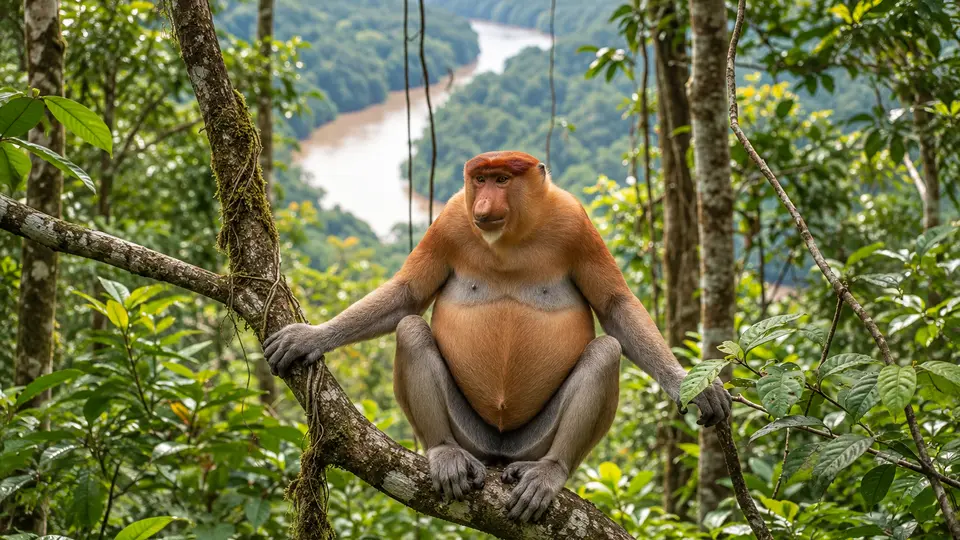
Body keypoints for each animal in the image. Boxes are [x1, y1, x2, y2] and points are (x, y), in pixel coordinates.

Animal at [264, 151, 731, 522]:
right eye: (481, 179)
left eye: (504, 179)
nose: (486, 203)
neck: (511, 238)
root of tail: (500, 452)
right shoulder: (452, 218)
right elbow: (407, 296)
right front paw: (310, 337)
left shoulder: (575, 221)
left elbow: (616, 309)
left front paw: (692, 386)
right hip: (470, 432)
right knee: (411, 330)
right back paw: (445, 454)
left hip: (533, 441)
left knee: (606, 351)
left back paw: (548, 473)